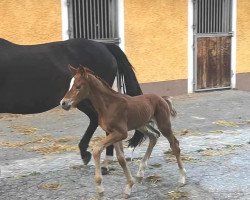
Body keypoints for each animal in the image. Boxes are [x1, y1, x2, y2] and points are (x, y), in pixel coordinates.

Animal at [60, 66, 186, 198]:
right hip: (142, 125)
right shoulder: (113, 133)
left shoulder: (121, 133)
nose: (63, 103)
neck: (108, 105)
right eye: (70, 85)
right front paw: (129, 186)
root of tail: (162, 98)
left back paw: (182, 178)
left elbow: (97, 149)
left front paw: (100, 189)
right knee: (154, 136)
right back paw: (140, 173)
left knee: (174, 144)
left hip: (164, 124)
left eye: (78, 86)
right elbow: (121, 159)